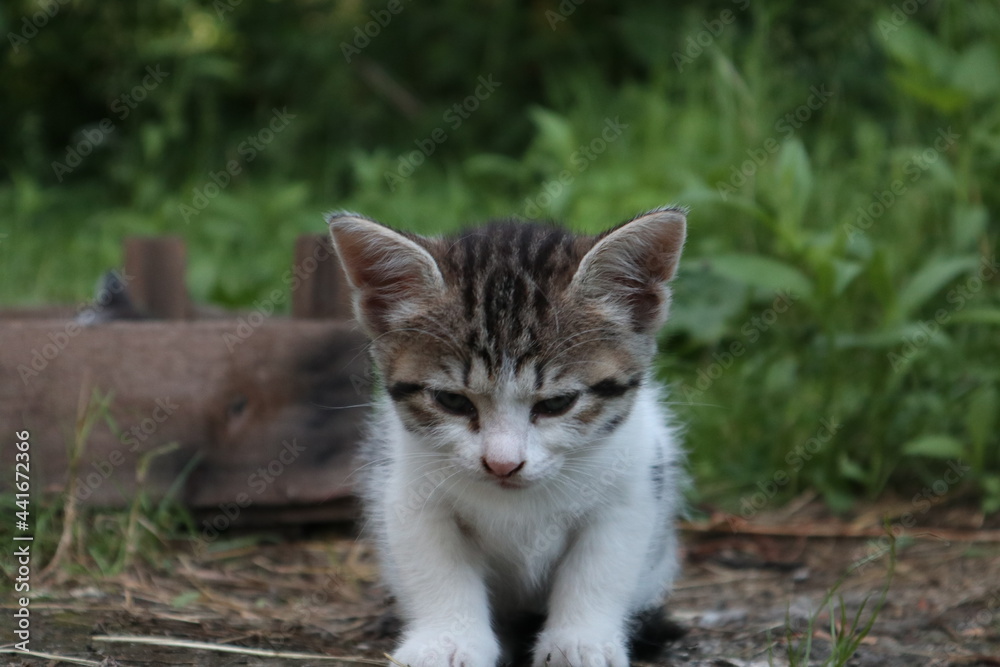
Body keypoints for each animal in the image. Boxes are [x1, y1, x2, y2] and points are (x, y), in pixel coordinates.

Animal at [328, 209, 688, 667]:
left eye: (557, 403)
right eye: (452, 401)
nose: (502, 463)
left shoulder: (632, 487)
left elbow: (600, 570)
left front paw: (579, 641)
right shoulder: (407, 490)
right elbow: (436, 569)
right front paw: (448, 640)